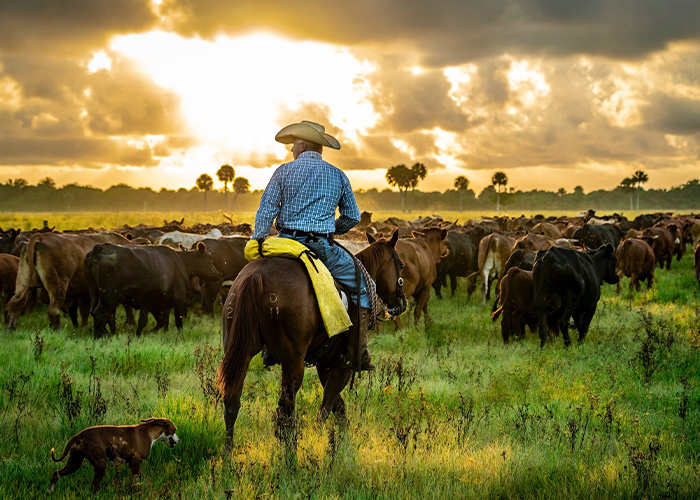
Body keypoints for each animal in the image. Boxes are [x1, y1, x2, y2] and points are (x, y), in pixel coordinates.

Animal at [48, 418, 178, 492]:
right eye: (174, 430)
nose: (179, 440)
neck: (149, 432)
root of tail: (80, 435)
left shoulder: (134, 464)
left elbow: (144, 478)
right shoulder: (135, 464)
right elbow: (136, 482)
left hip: (74, 462)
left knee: (57, 473)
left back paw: (50, 491)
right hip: (100, 465)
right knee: (93, 486)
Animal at [85, 241, 221, 338]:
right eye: (210, 259)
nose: (217, 274)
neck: (180, 262)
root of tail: (100, 248)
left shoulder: (154, 303)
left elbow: (160, 321)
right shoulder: (178, 299)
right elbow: (177, 322)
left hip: (97, 296)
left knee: (98, 314)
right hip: (109, 298)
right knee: (101, 316)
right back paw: (100, 337)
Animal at [217, 232, 404, 452]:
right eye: (401, 264)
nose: (402, 303)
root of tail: (256, 277)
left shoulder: (325, 365)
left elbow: (338, 409)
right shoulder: (342, 366)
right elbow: (327, 407)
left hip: (239, 351)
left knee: (232, 401)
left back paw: (228, 454)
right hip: (292, 363)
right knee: (286, 409)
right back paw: (290, 455)